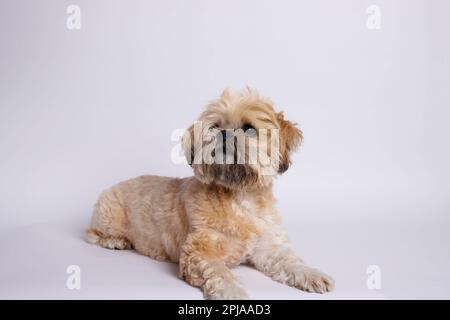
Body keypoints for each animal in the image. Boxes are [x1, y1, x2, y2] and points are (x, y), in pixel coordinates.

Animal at [87, 88, 334, 300]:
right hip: (109, 215)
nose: (223, 134)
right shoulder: (199, 252)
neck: (240, 198)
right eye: (215, 126)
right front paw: (233, 292)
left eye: (249, 128)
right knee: (92, 233)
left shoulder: (268, 248)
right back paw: (115, 241)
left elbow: (289, 261)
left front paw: (311, 273)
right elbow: (219, 273)